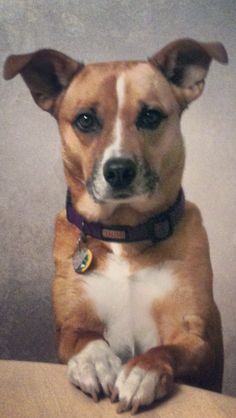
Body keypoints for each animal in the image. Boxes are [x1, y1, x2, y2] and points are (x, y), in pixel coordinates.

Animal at [3, 38, 228, 412]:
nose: (119, 170)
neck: (125, 234)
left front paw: (141, 373)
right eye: (85, 120)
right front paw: (96, 363)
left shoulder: (195, 337)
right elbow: (85, 337)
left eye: (150, 116)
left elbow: (167, 349)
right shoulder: (69, 325)